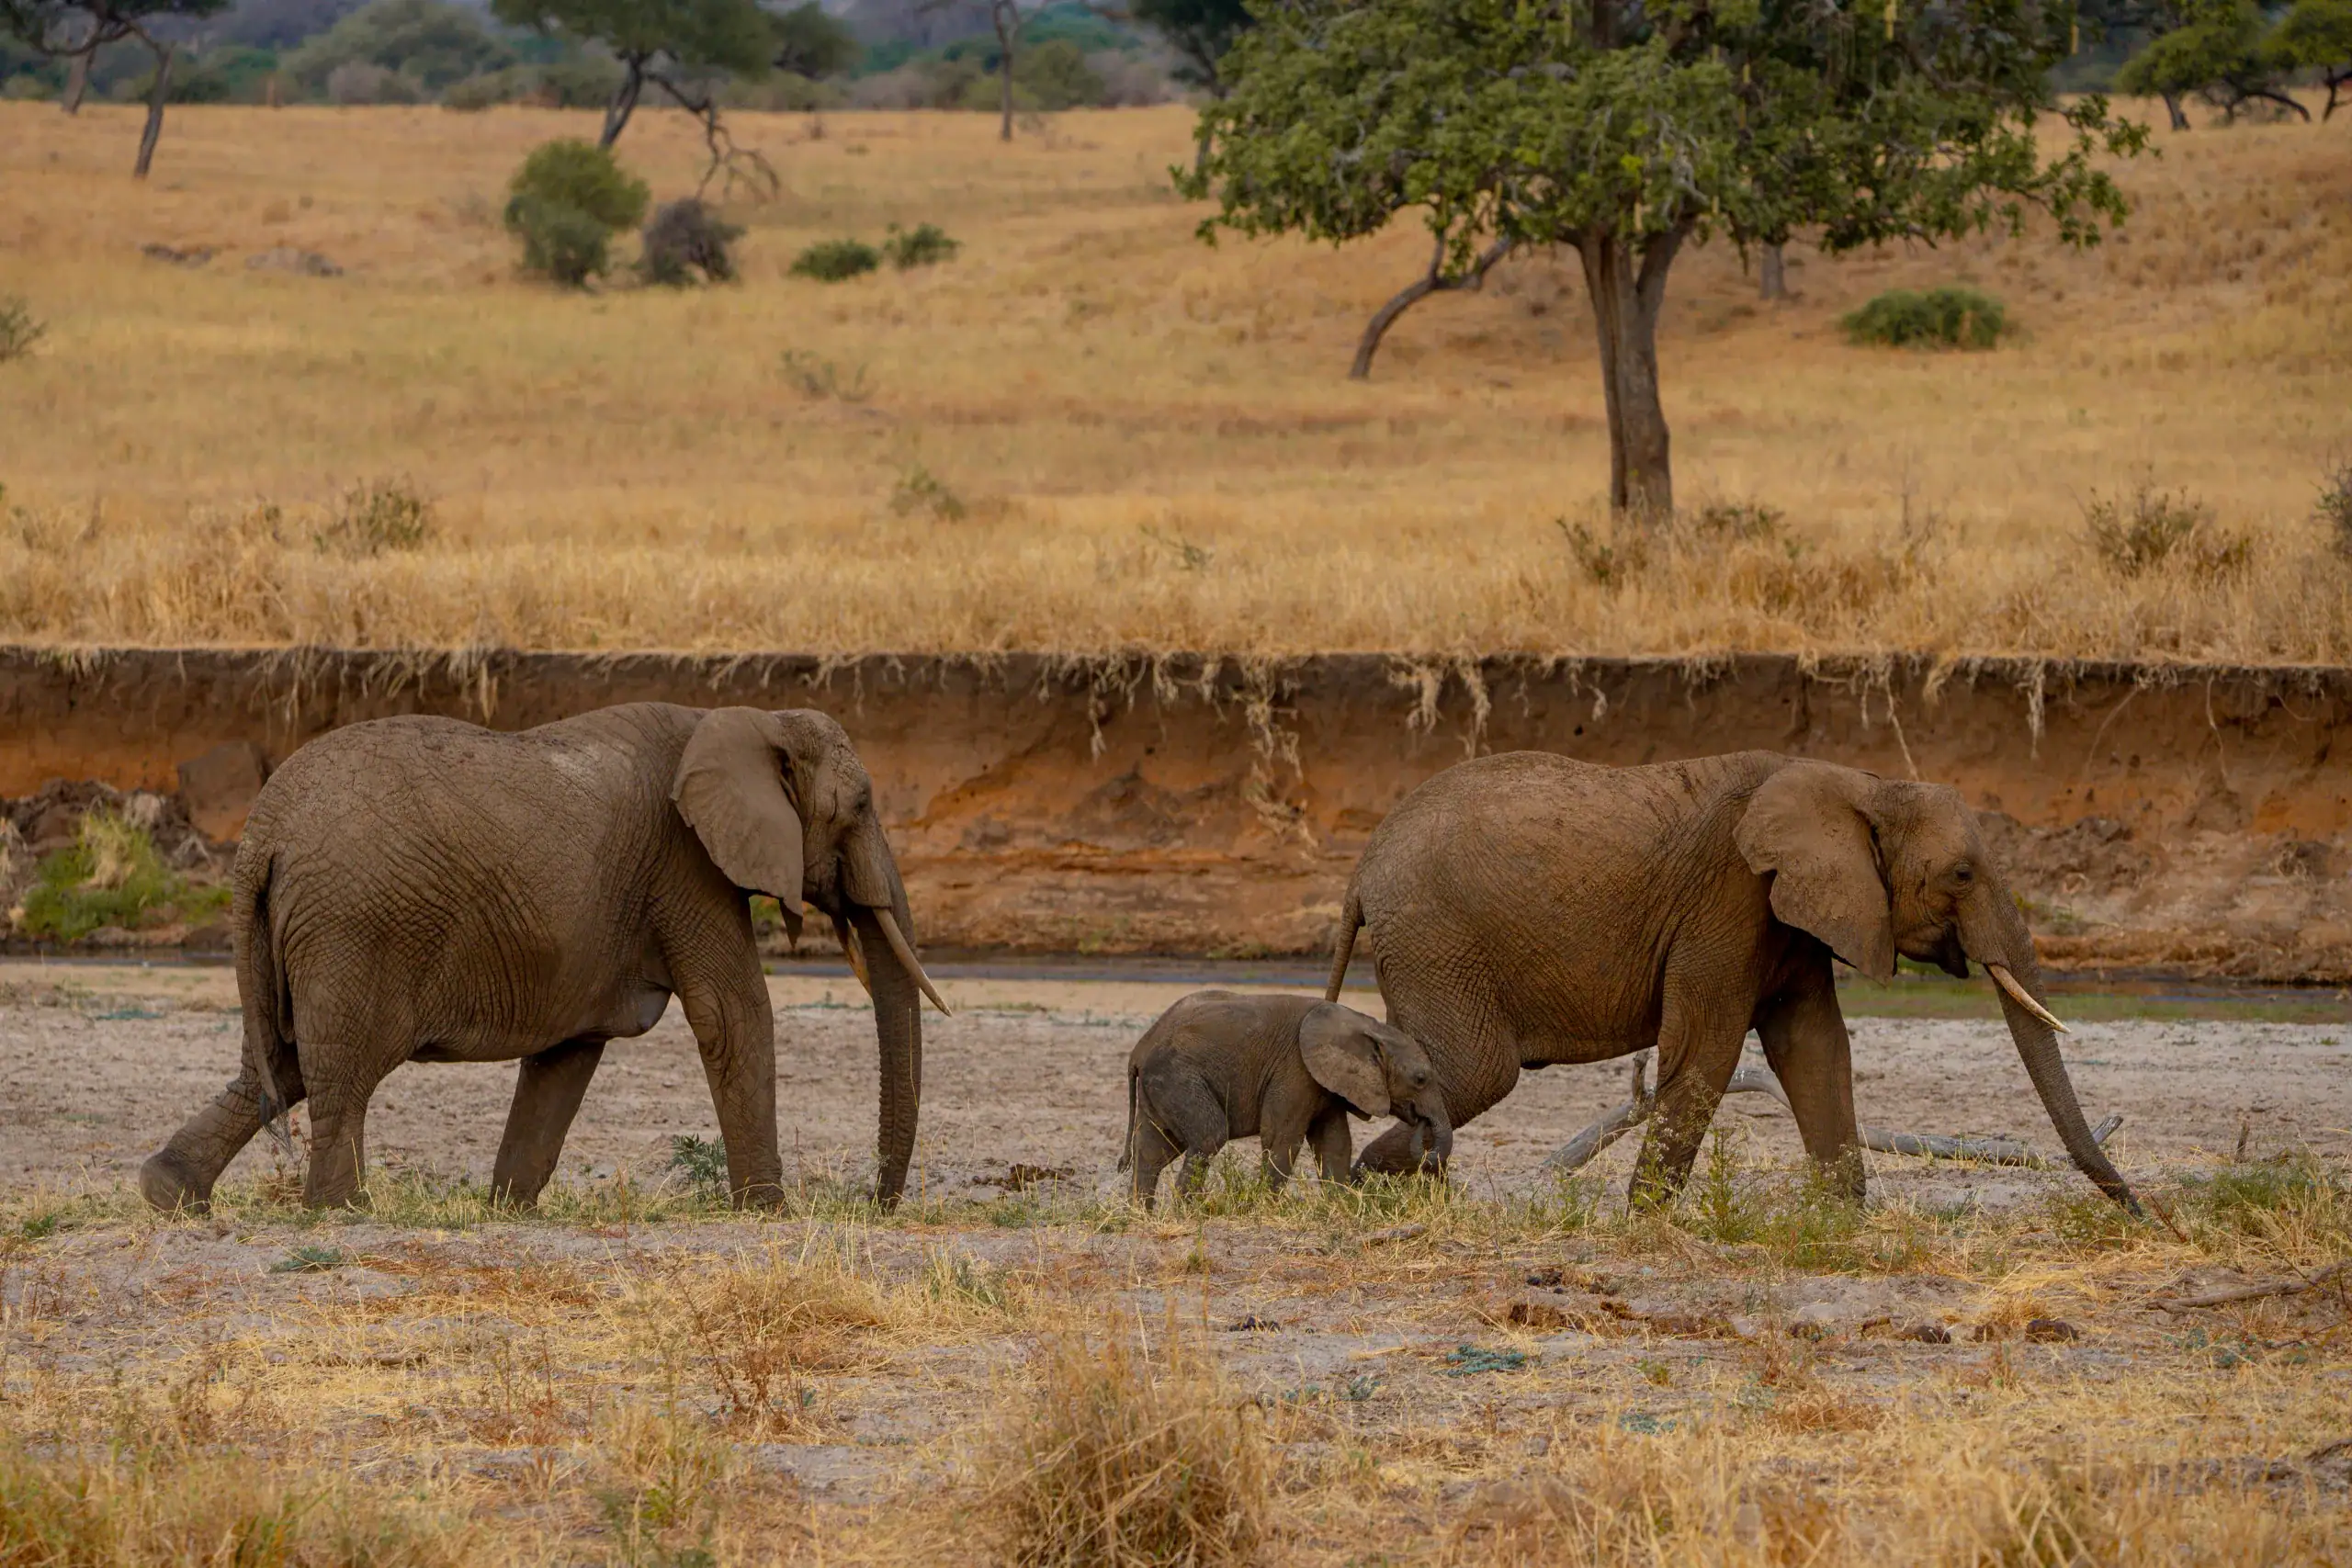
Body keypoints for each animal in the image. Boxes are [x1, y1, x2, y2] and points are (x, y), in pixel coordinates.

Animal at [139, 703, 950, 1215]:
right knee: (339, 1069)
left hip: (297, 928)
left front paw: (506, 1209)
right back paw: (341, 1210)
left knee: (279, 1063)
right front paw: (770, 1213)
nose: (874, 1204)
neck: (748, 717)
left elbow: (567, 1053)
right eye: (859, 807)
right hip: (353, 927)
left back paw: (172, 1194)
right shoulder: (686, 867)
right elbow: (734, 1015)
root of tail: (261, 833)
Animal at [1120, 991, 1452, 1208]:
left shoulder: (1324, 1083)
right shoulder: (1296, 1071)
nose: (1421, 1121)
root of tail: (1138, 1049)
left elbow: (1334, 1143)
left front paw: (1342, 1206)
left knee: (1152, 1147)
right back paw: (1189, 1211)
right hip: (1176, 1075)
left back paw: (1142, 1215)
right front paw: (1266, 1207)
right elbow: (1283, 1137)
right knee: (1208, 1135)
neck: (1369, 1026)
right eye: (1420, 1079)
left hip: (1162, 1085)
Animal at [1324, 750, 2140, 1215]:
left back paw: (1394, 1190)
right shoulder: (1730, 898)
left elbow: (1815, 1047)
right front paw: (1647, 1221)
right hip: (1438, 937)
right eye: (1963, 874)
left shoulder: (1791, 914)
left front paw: (1844, 1221)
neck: (1864, 784)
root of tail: (1360, 868)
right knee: (1477, 1071)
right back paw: (1371, 1185)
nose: (2136, 1208)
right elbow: (1707, 1049)